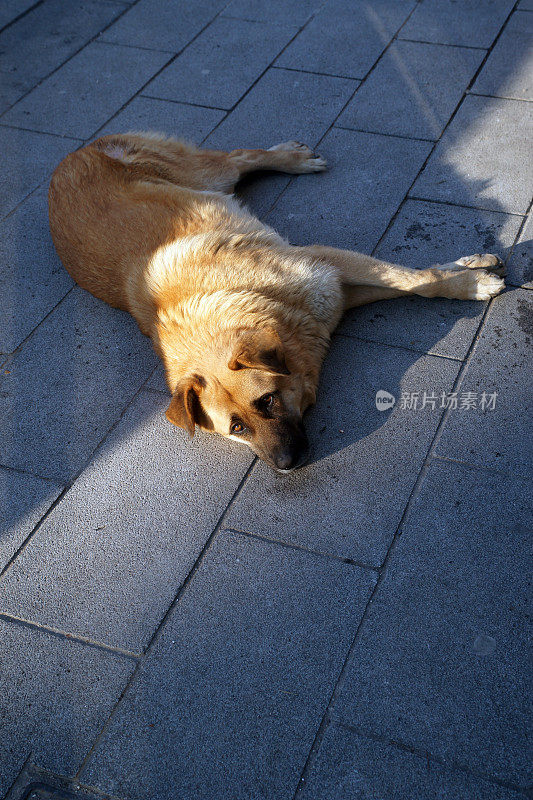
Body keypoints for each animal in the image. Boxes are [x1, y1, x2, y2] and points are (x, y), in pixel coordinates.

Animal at [47, 134, 504, 472]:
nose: (286, 466)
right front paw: (469, 268)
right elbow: (417, 278)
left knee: (241, 156)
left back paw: (292, 158)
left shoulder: (326, 265)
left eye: (266, 401)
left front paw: (470, 279)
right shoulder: (337, 289)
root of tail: (66, 158)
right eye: (236, 428)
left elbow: (418, 279)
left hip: (209, 174)